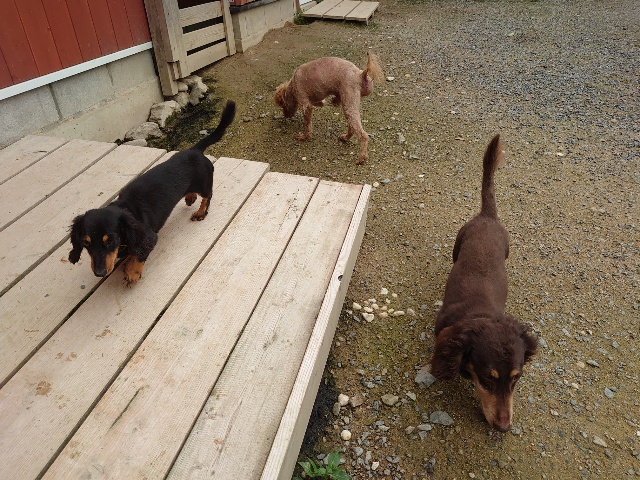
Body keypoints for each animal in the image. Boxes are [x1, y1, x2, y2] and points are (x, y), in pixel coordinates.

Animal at [68, 100, 236, 286]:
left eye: (110, 240)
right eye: (85, 242)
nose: (99, 273)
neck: (126, 208)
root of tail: (195, 150)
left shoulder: (149, 237)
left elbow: (139, 254)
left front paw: (132, 272)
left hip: (204, 184)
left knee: (207, 196)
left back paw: (200, 212)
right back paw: (190, 197)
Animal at [429, 135, 537, 432]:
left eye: (516, 378)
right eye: (488, 379)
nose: (503, 427)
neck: (479, 315)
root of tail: (488, 216)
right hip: (457, 243)